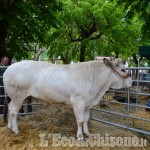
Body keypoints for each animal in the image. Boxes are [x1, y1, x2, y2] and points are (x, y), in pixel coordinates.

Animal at [3, 57, 132, 141]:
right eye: (123, 69)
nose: (132, 82)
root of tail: (9, 68)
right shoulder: (79, 102)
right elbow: (80, 121)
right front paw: (80, 137)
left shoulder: (88, 104)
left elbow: (86, 120)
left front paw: (87, 133)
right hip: (18, 95)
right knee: (14, 112)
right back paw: (16, 130)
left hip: (12, 97)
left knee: (9, 108)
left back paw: (9, 127)